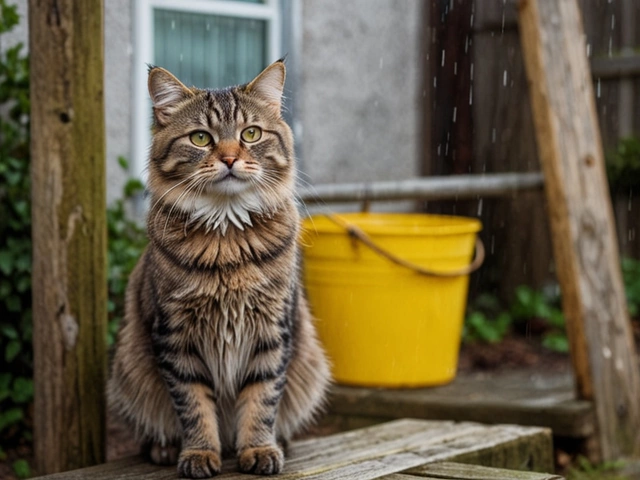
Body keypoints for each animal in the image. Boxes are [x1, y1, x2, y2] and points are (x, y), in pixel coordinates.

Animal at [108, 59, 330, 476]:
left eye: (251, 133)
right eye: (200, 139)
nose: (229, 158)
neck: (227, 243)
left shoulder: (272, 329)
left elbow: (261, 399)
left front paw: (258, 449)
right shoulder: (176, 335)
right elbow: (194, 405)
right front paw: (198, 454)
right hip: (129, 367)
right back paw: (166, 449)